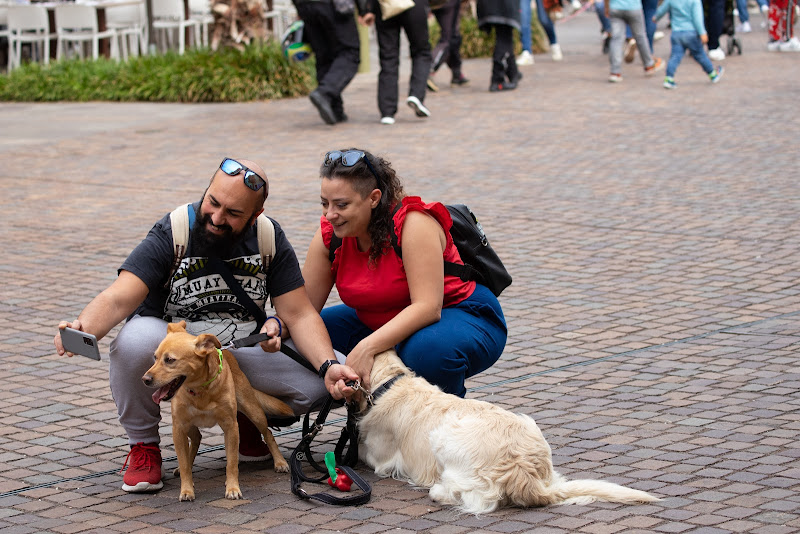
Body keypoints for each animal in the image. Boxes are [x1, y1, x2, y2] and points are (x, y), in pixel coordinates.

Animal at [143, 322, 294, 502]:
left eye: (170, 360)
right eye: (155, 357)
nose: (145, 379)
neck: (199, 390)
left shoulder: (231, 427)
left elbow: (232, 462)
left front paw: (233, 487)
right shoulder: (178, 428)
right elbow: (184, 464)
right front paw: (186, 489)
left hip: (254, 411)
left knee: (268, 434)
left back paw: (280, 462)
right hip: (188, 425)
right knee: (196, 440)